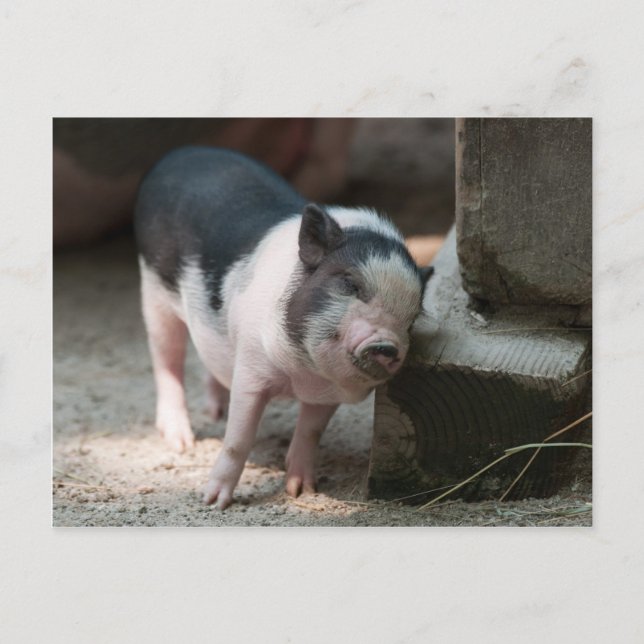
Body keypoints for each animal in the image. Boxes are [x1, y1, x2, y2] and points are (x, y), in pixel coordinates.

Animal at [134, 146, 432, 509]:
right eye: (351, 284)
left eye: (412, 318)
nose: (387, 345)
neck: (301, 375)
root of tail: (179, 154)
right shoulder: (251, 368)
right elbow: (238, 438)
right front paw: (213, 502)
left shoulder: (325, 394)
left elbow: (310, 433)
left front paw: (302, 491)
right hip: (153, 290)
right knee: (167, 359)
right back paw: (181, 441)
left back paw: (215, 412)